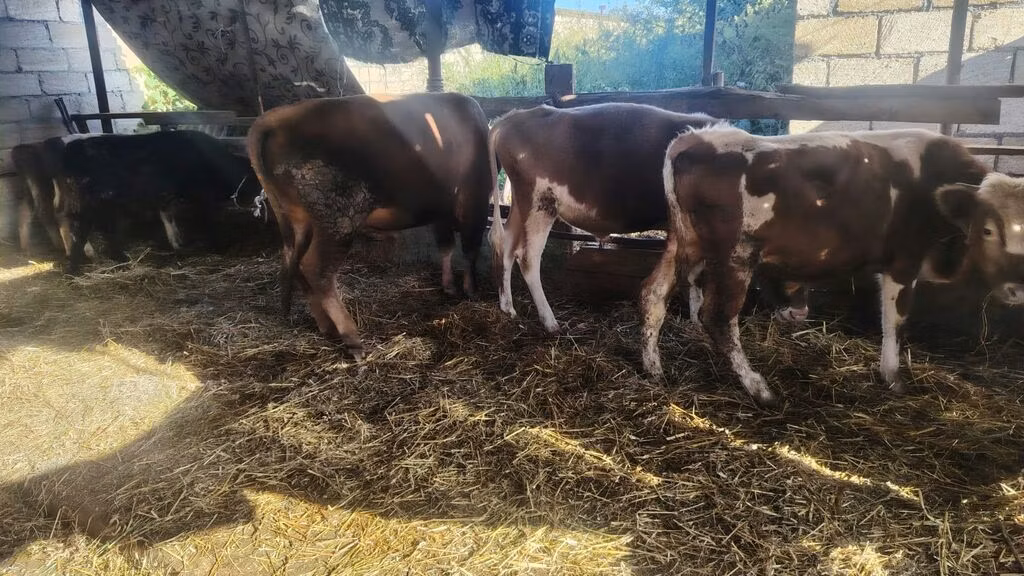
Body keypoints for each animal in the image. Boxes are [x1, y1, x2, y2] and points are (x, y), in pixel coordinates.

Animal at [56, 130, 260, 275]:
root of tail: (70, 149)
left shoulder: (166, 198)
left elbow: (169, 222)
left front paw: (179, 245)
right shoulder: (203, 196)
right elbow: (210, 221)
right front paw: (219, 246)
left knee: (70, 226)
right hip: (92, 203)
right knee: (81, 230)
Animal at [246, 93, 493, 359]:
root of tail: (277, 116)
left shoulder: (441, 211)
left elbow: (446, 247)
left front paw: (449, 286)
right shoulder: (475, 202)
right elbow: (470, 249)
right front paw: (471, 289)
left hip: (298, 220)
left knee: (293, 260)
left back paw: (326, 326)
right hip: (338, 220)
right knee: (316, 270)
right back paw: (352, 339)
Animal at [489, 104, 722, 332]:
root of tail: (516, 116)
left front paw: (695, 319)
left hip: (521, 204)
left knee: (506, 245)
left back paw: (508, 308)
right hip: (540, 203)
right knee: (528, 257)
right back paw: (550, 322)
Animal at [638, 126, 1010, 407]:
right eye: (989, 229)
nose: (1015, 289)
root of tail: (695, 138)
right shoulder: (904, 261)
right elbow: (895, 321)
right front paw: (893, 378)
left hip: (685, 242)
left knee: (653, 294)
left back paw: (654, 369)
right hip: (736, 254)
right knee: (718, 318)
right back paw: (759, 389)